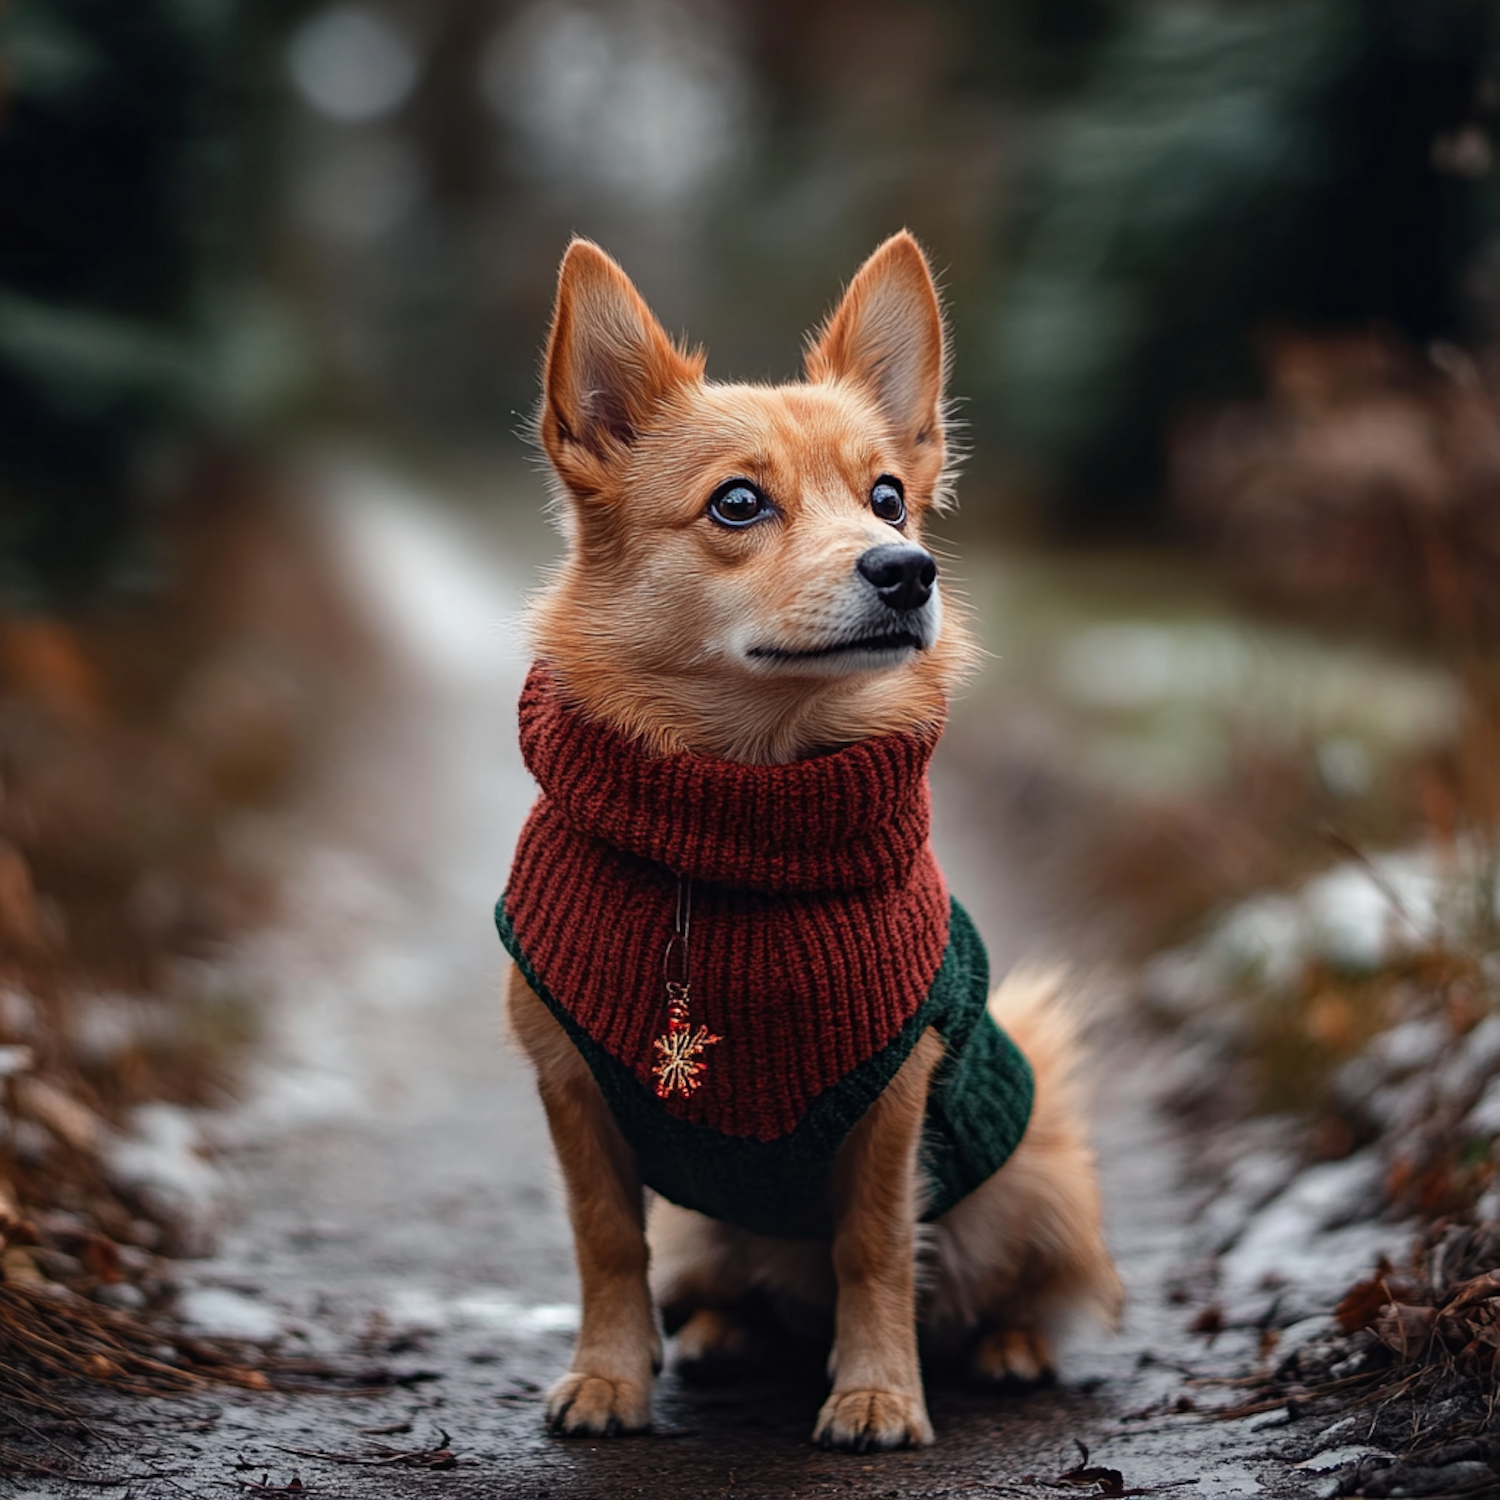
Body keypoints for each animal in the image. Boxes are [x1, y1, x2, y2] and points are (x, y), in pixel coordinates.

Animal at [498, 237, 1122, 1452]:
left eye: (889, 500)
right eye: (738, 504)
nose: (906, 570)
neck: (732, 822)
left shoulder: (891, 1099)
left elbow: (873, 1250)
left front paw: (877, 1391)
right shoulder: (573, 1090)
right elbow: (606, 1242)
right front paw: (609, 1375)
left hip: (1035, 1183)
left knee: (1004, 1286)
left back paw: (1009, 1347)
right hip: (710, 1233)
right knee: (724, 1284)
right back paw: (722, 1333)